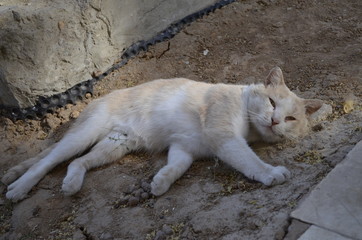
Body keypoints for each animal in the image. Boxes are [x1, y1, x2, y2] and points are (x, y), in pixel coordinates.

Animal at [0, 67, 322, 201]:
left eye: (291, 118)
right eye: (271, 103)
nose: (275, 121)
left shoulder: (184, 148)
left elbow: (177, 167)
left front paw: (160, 183)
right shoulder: (223, 137)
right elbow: (249, 160)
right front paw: (271, 172)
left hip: (116, 145)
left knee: (77, 162)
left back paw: (72, 183)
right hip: (84, 135)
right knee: (47, 161)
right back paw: (18, 188)